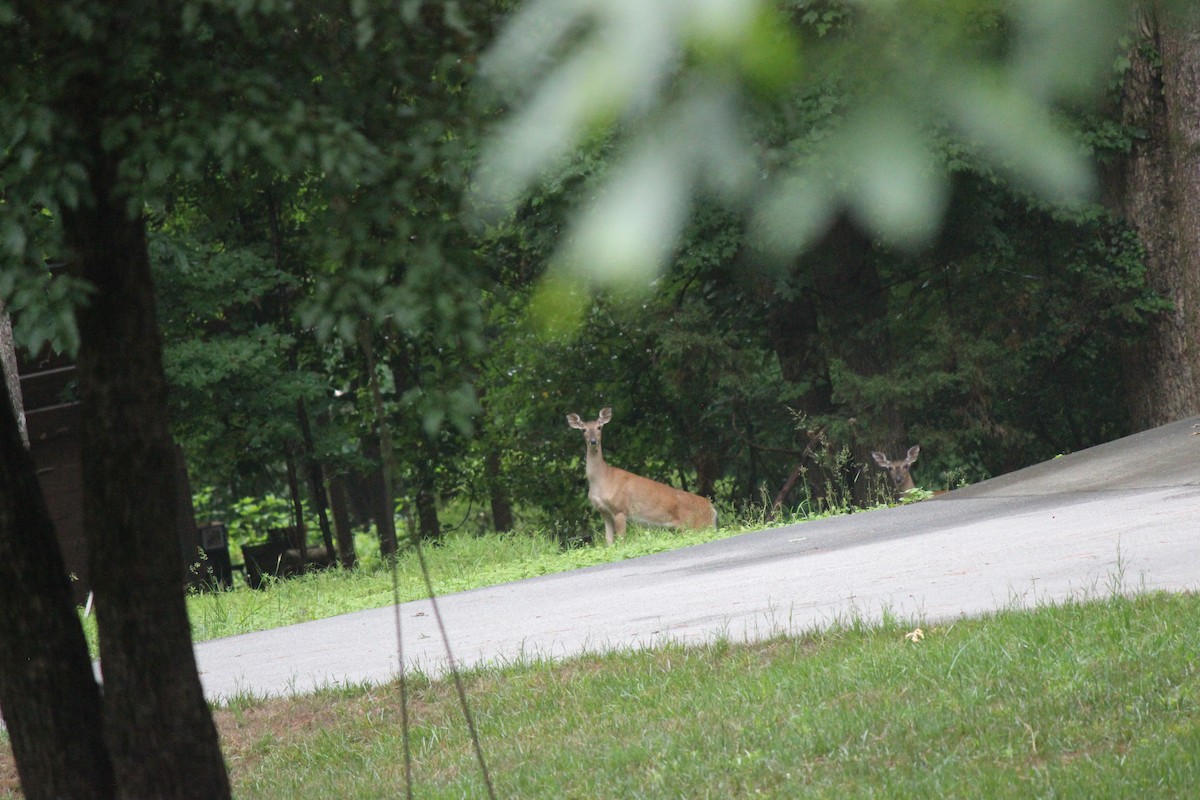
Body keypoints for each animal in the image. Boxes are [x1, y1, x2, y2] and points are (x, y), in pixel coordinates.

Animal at [567, 407, 717, 545]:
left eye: (599, 427)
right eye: (583, 430)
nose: (593, 441)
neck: (602, 479)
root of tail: (712, 509)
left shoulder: (620, 510)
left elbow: (622, 542)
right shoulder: (604, 513)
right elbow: (609, 543)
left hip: (699, 525)